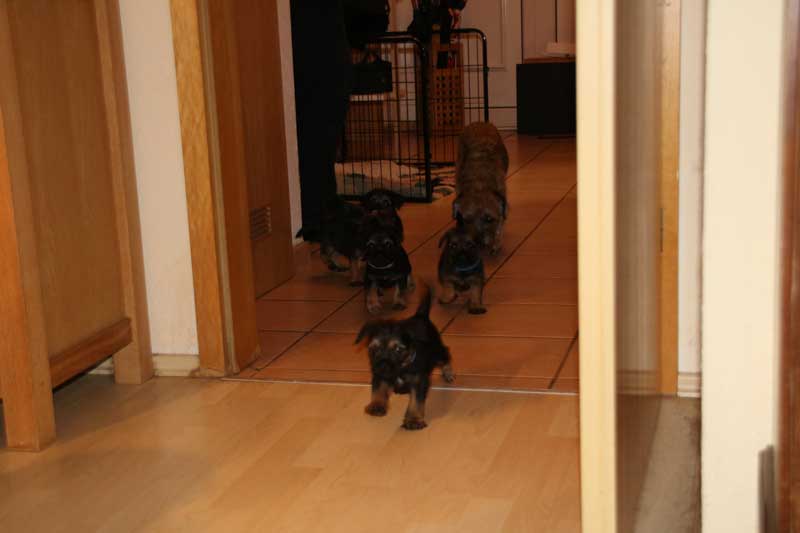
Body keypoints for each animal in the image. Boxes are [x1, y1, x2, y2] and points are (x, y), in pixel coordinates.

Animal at [356, 288, 455, 430]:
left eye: (398, 350)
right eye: (374, 349)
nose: (382, 366)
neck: (401, 367)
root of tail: (420, 316)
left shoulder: (419, 381)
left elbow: (415, 401)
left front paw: (414, 419)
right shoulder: (379, 375)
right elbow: (378, 389)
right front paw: (377, 405)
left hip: (437, 351)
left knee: (446, 354)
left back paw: (448, 373)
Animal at [453, 122, 510, 255]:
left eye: (489, 218)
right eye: (467, 219)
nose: (477, 242)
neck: (479, 184)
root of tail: (479, 122)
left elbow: (500, 223)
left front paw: (496, 243)